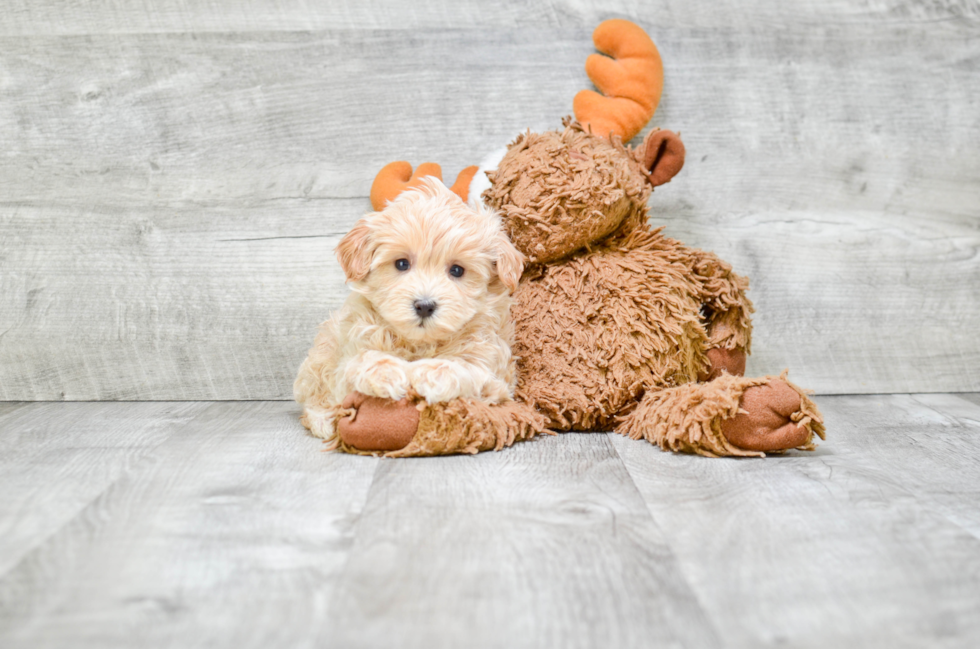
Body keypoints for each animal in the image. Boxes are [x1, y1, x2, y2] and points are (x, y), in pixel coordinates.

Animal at [296, 177, 528, 446]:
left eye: (457, 270)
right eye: (401, 264)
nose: (424, 306)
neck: (419, 344)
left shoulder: (496, 376)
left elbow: (468, 368)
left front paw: (433, 375)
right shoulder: (348, 357)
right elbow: (359, 363)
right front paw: (384, 372)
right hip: (322, 355)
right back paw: (323, 420)